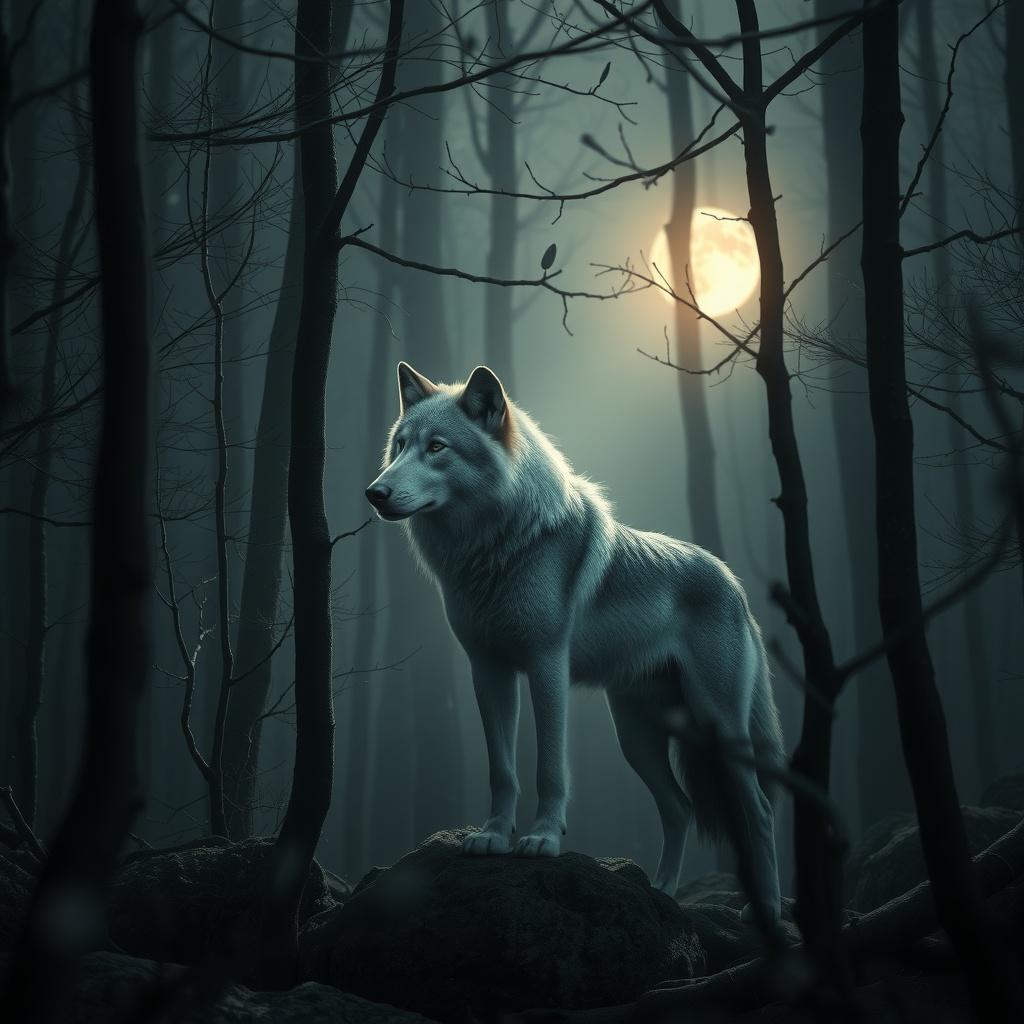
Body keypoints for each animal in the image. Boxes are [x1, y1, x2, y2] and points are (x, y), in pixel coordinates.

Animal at [365, 362, 784, 918]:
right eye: (400, 446)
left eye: (437, 447)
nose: (375, 493)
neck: (496, 547)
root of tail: (732, 581)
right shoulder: (488, 670)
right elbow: (502, 768)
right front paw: (493, 836)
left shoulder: (546, 666)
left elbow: (549, 768)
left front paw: (542, 839)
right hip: (637, 739)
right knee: (680, 808)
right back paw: (662, 894)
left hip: (719, 726)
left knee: (759, 810)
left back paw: (767, 912)